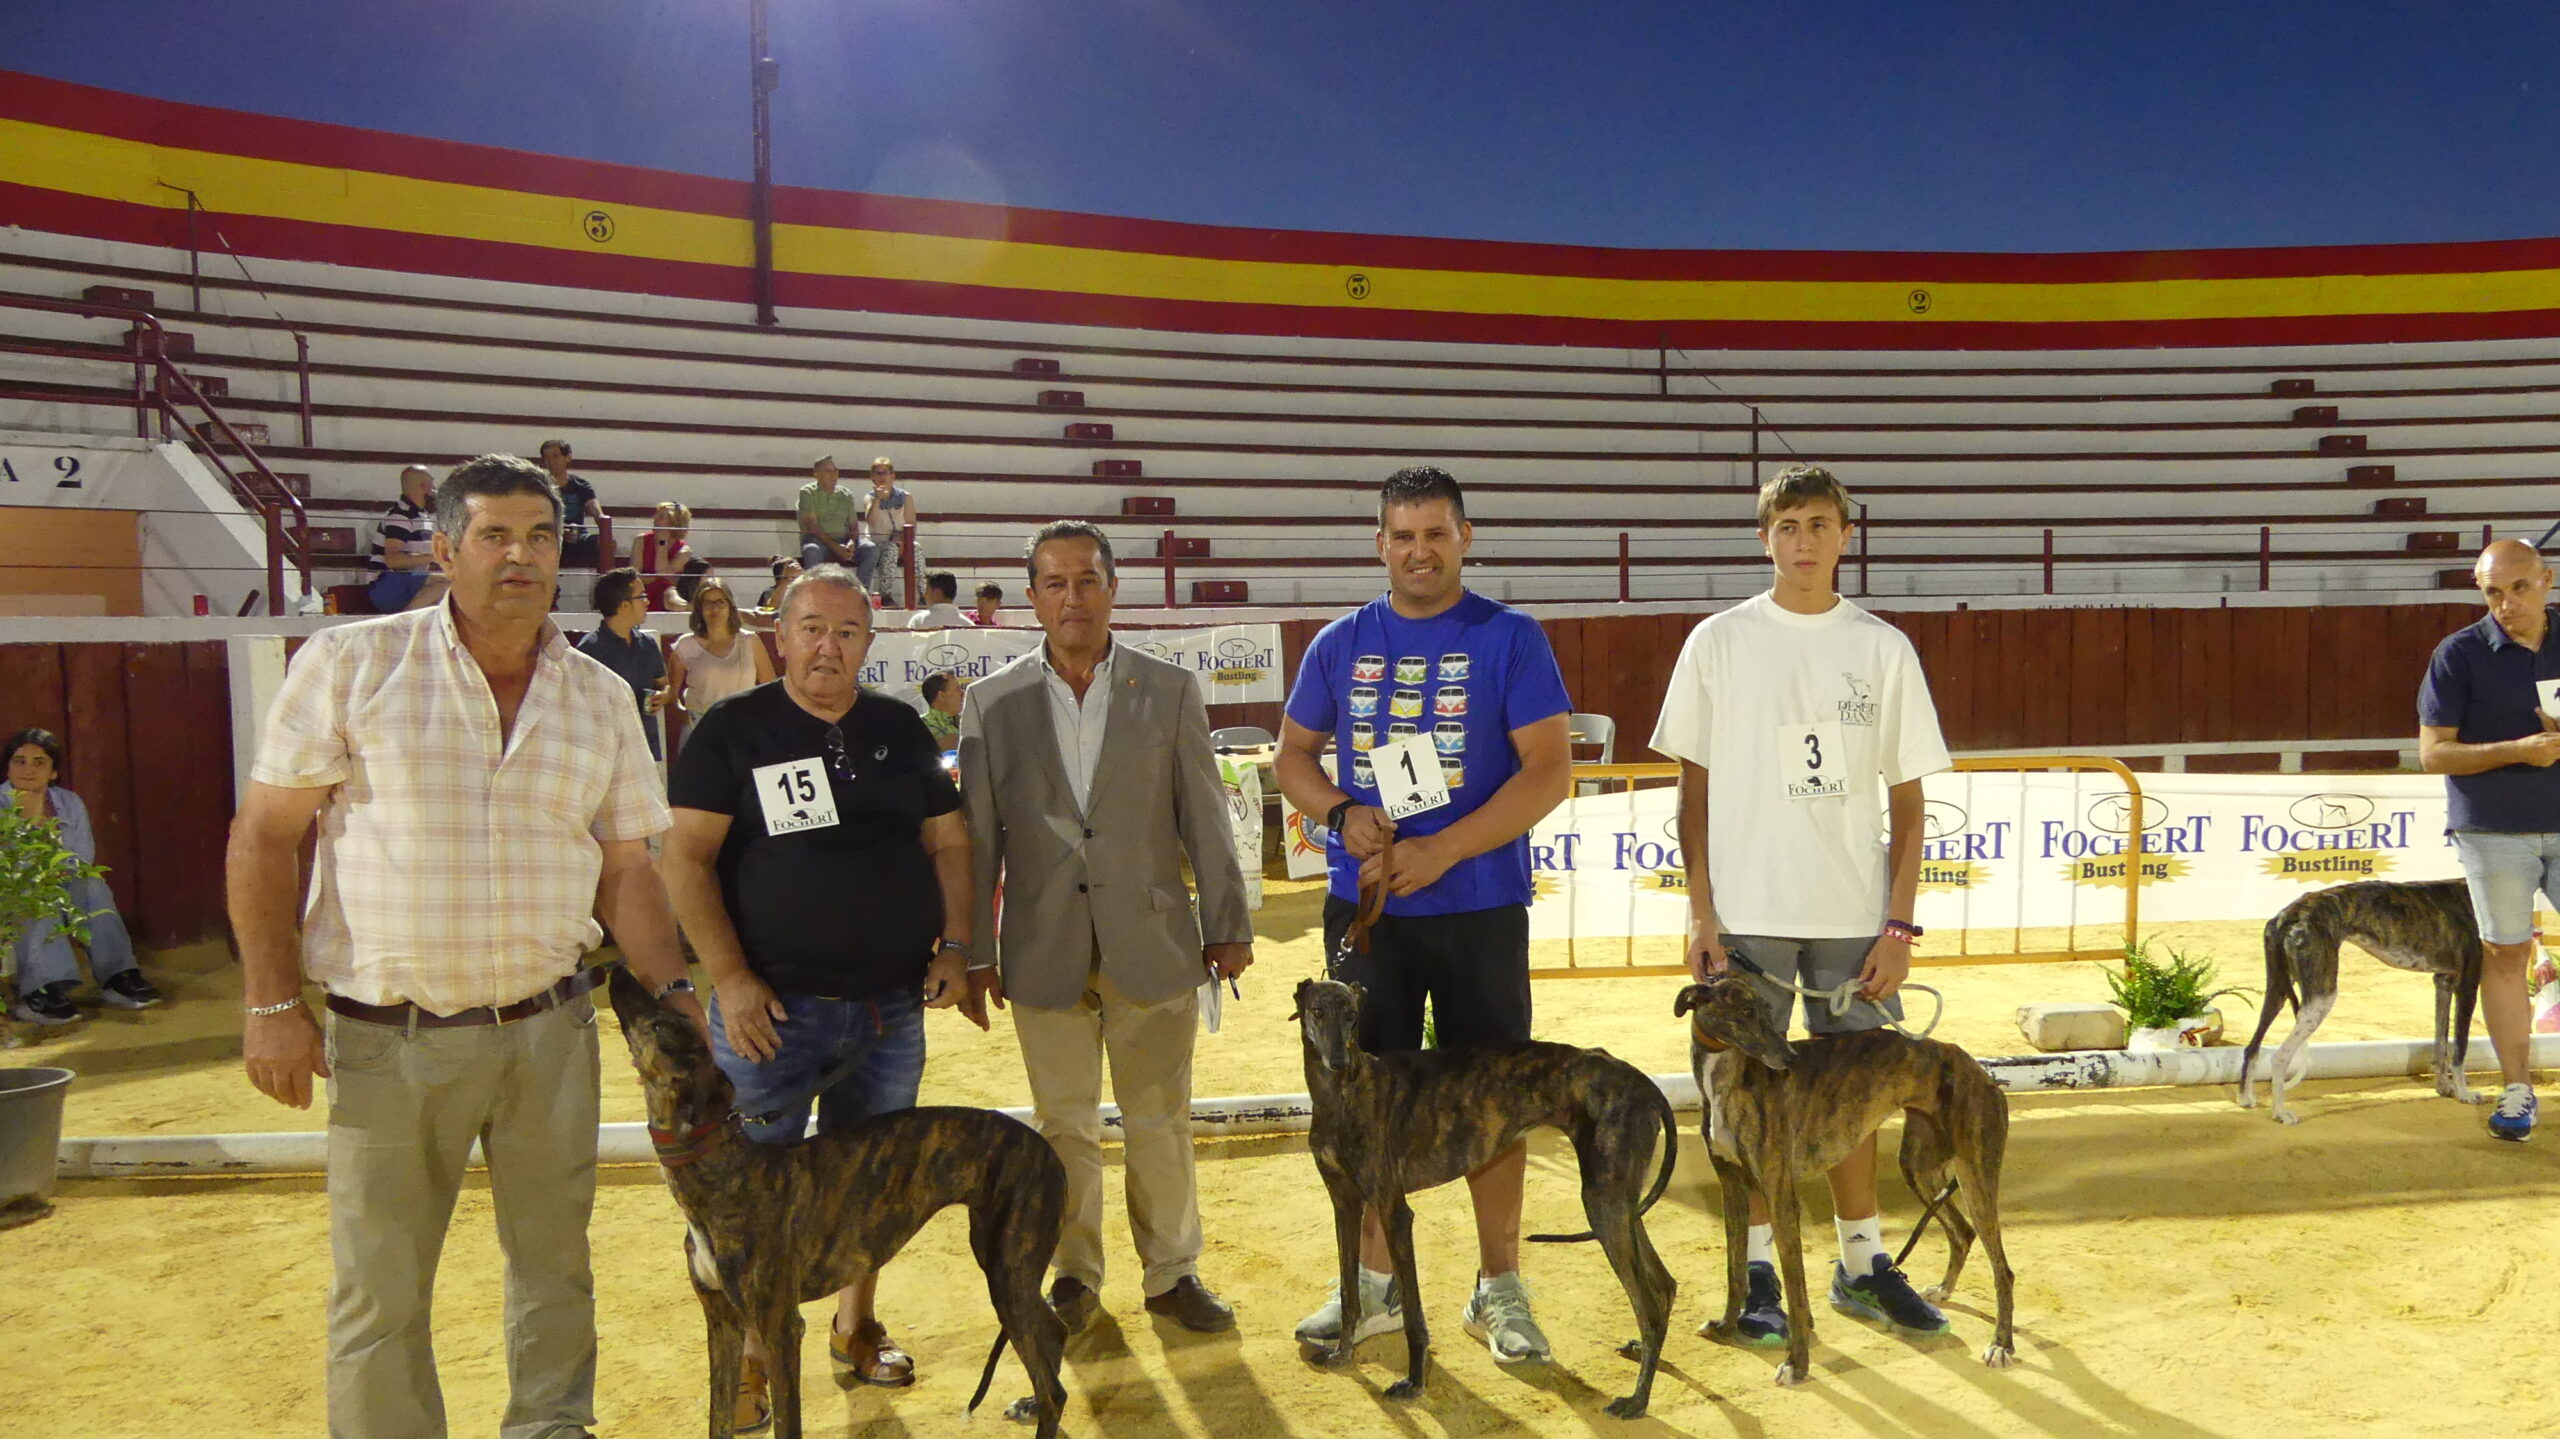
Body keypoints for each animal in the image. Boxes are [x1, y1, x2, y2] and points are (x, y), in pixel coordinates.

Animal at [606, 968, 1070, 1439]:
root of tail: (1049, 1152)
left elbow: (788, 1423)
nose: (616, 972)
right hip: (1007, 1268)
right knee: (1054, 1335)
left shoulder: (780, 1326)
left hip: (1007, 1271)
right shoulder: (722, 1321)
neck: (724, 1169)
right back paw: (1030, 1402)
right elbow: (718, 1419)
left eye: (660, 1026)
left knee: (1053, 1382)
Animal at [1291, 977, 1678, 1418]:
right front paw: (1342, 1355)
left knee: (1648, 1304)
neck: (1345, 1091)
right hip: (1618, 1202)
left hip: (1604, 1203)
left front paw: (1414, 1382)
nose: (1337, 1060)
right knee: (1664, 1285)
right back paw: (1644, 1354)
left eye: (1352, 1015)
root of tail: (1644, 1083)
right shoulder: (1345, 1203)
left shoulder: (1394, 1211)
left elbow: (1413, 1315)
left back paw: (1637, 1400)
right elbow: (1351, 1293)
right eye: (1317, 1011)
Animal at [1675, 977, 2017, 1386]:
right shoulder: (1733, 1188)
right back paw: (1943, 1290)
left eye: (1767, 1010)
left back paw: (2001, 1345)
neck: (1729, 1079)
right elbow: (1735, 1272)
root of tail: (1980, 1070)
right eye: (1745, 1012)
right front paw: (1726, 1328)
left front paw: (1797, 1363)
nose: (1790, 1059)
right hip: (1919, 1167)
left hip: (1975, 1173)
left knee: (2002, 1269)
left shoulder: (1779, 1194)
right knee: (1962, 1232)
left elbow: (1796, 1289)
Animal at [2238, 877, 2484, 1125]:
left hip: (2278, 990)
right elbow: (2460, 1048)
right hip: (2322, 995)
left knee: (2252, 1046)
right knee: (2279, 1057)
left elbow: (2441, 1043)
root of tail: (2288, 914)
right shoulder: (2468, 986)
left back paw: (2246, 1098)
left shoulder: (2443, 981)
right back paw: (2280, 1112)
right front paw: (2464, 1094)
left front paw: (2444, 1087)